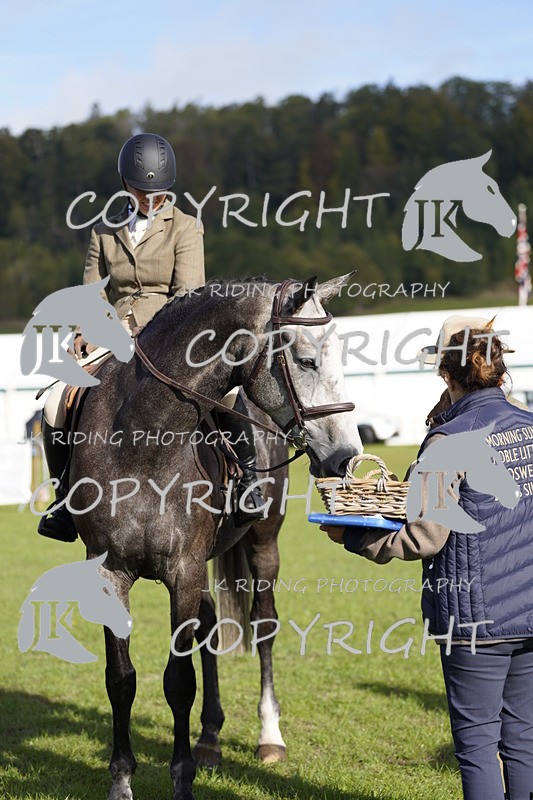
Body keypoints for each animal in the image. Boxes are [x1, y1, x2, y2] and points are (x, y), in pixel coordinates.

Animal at [68, 274, 363, 800]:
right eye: (307, 360)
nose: (347, 456)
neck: (143, 439)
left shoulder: (183, 570)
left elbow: (178, 680)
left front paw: (181, 780)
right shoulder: (110, 572)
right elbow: (121, 679)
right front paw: (122, 780)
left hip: (263, 545)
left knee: (263, 626)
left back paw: (269, 737)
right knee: (208, 630)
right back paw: (208, 738)